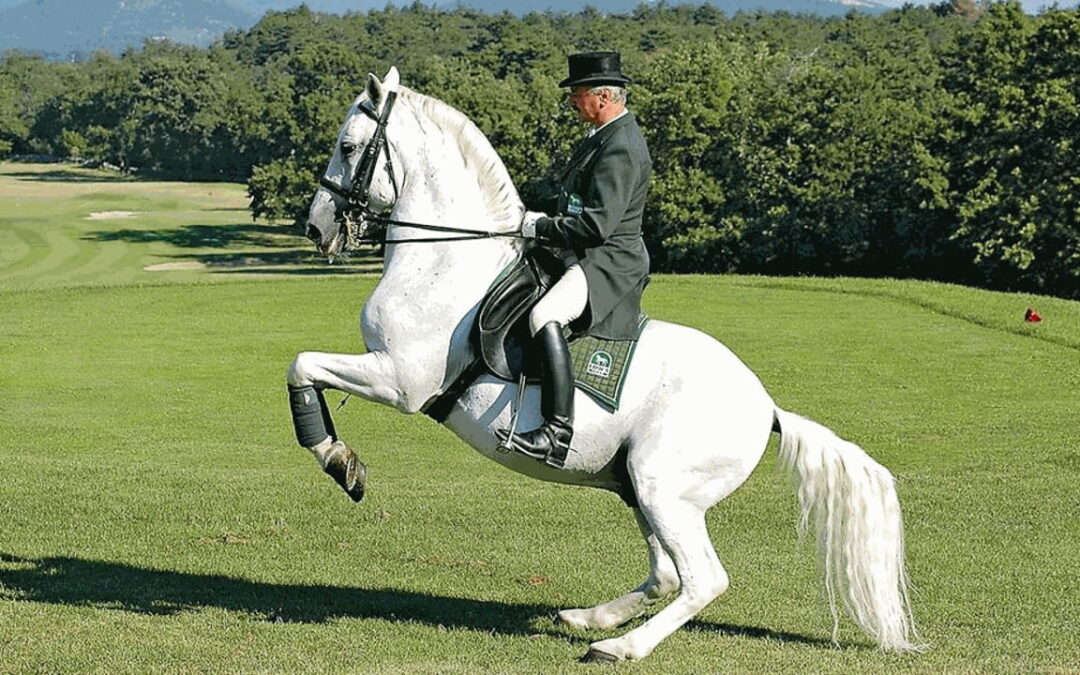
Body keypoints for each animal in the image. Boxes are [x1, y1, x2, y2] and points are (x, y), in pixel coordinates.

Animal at [286, 67, 923, 662]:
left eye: (348, 147)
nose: (317, 227)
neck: (444, 261)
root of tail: (767, 407)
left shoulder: (397, 378)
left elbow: (301, 365)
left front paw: (341, 462)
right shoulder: (390, 372)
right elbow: (303, 368)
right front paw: (343, 460)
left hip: (663, 487)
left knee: (703, 580)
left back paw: (620, 646)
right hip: (637, 487)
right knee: (666, 575)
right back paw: (588, 618)